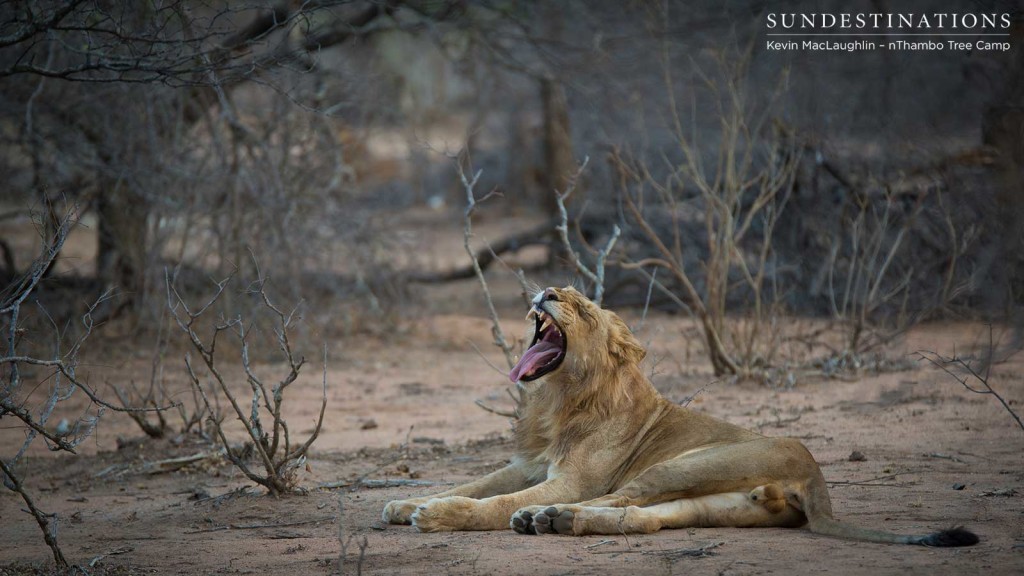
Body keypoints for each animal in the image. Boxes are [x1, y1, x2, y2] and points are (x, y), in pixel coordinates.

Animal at [382, 284, 974, 545]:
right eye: (559, 290)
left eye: (582, 308)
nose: (546, 291)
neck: (555, 402)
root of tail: (816, 475)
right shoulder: (525, 465)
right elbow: (472, 482)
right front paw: (405, 502)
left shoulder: (569, 478)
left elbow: (490, 502)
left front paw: (437, 515)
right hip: (713, 501)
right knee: (643, 517)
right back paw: (559, 521)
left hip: (679, 464)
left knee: (619, 500)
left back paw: (543, 517)